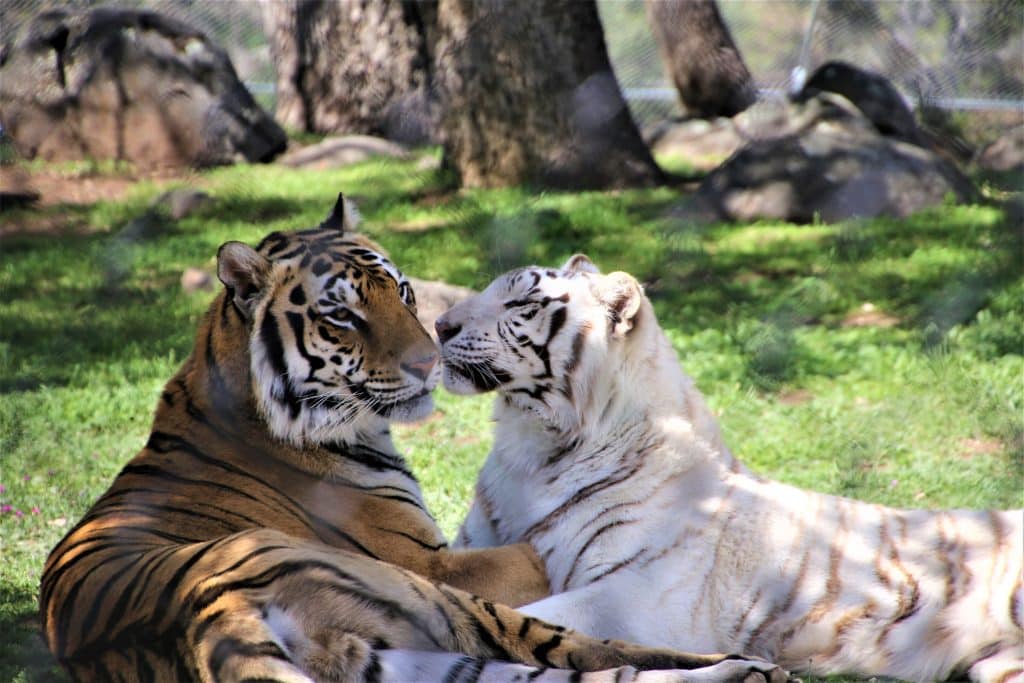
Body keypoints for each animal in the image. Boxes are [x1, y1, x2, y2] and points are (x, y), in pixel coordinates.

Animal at [38, 196, 790, 683]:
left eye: (400, 290)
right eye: (342, 316)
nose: (432, 358)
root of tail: (209, 609)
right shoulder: (433, 561)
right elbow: (534, 552)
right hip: (440, 603)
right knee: (595, 651)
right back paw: (750, 667)